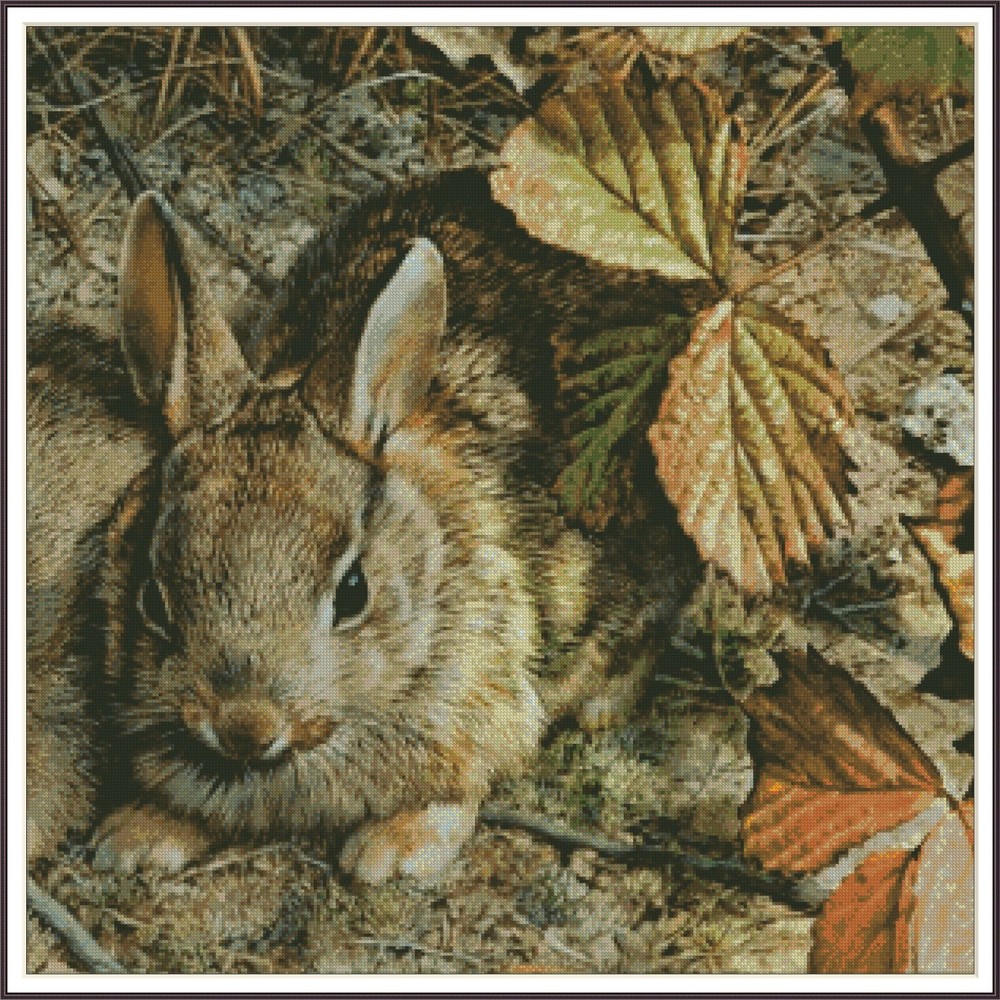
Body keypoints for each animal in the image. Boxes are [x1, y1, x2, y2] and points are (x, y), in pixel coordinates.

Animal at [33, 168, 706, 883]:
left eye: (353, 594)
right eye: (153, 600)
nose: (246, 726)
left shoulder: (480, 710)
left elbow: (462, 785)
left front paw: (394, 851)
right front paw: (137, 836)